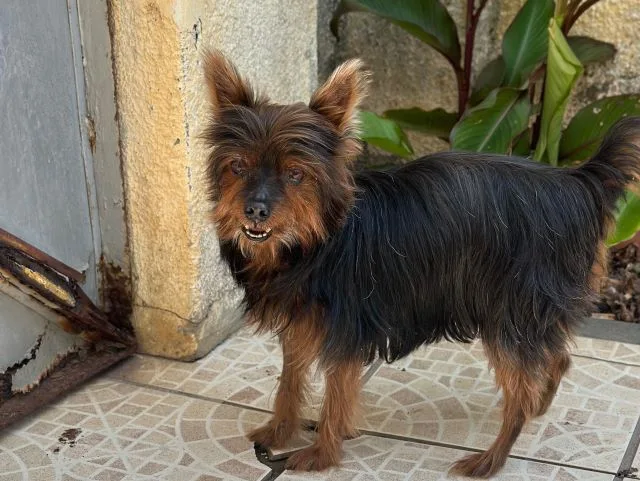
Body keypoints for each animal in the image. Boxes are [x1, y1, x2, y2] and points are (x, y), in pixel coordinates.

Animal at [201, 49, 640, 476]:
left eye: (295, 174)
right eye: (237, 167)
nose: (254, 211)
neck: (314, 240)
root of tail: (581, 183)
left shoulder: (346, 329)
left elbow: (337, 394)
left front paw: (322, 452)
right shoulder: (300, 322)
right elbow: (289, 383)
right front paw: (279, 431)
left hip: (510, 311)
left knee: (521, 387)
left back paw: (492, 458)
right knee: (557, 357)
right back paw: (537, 406)